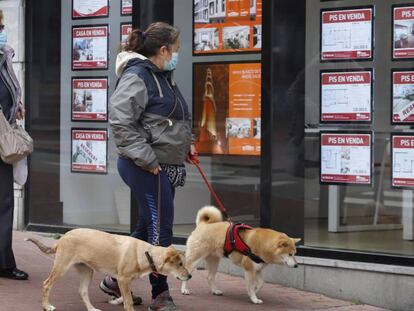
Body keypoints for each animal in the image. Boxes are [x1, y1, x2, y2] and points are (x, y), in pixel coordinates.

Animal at [26, 227, 192, 311]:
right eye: (179, 264)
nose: (190, 276)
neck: (146, 253)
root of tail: (63, 237)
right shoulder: (123, 279)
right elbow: (128, 302)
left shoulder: (124, 281)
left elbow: (126, 297)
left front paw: (116, 300)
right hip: (61, 267)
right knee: (46, 284)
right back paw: (47, 306)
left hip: (87, 271)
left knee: (82, 291)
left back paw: (92, 309)